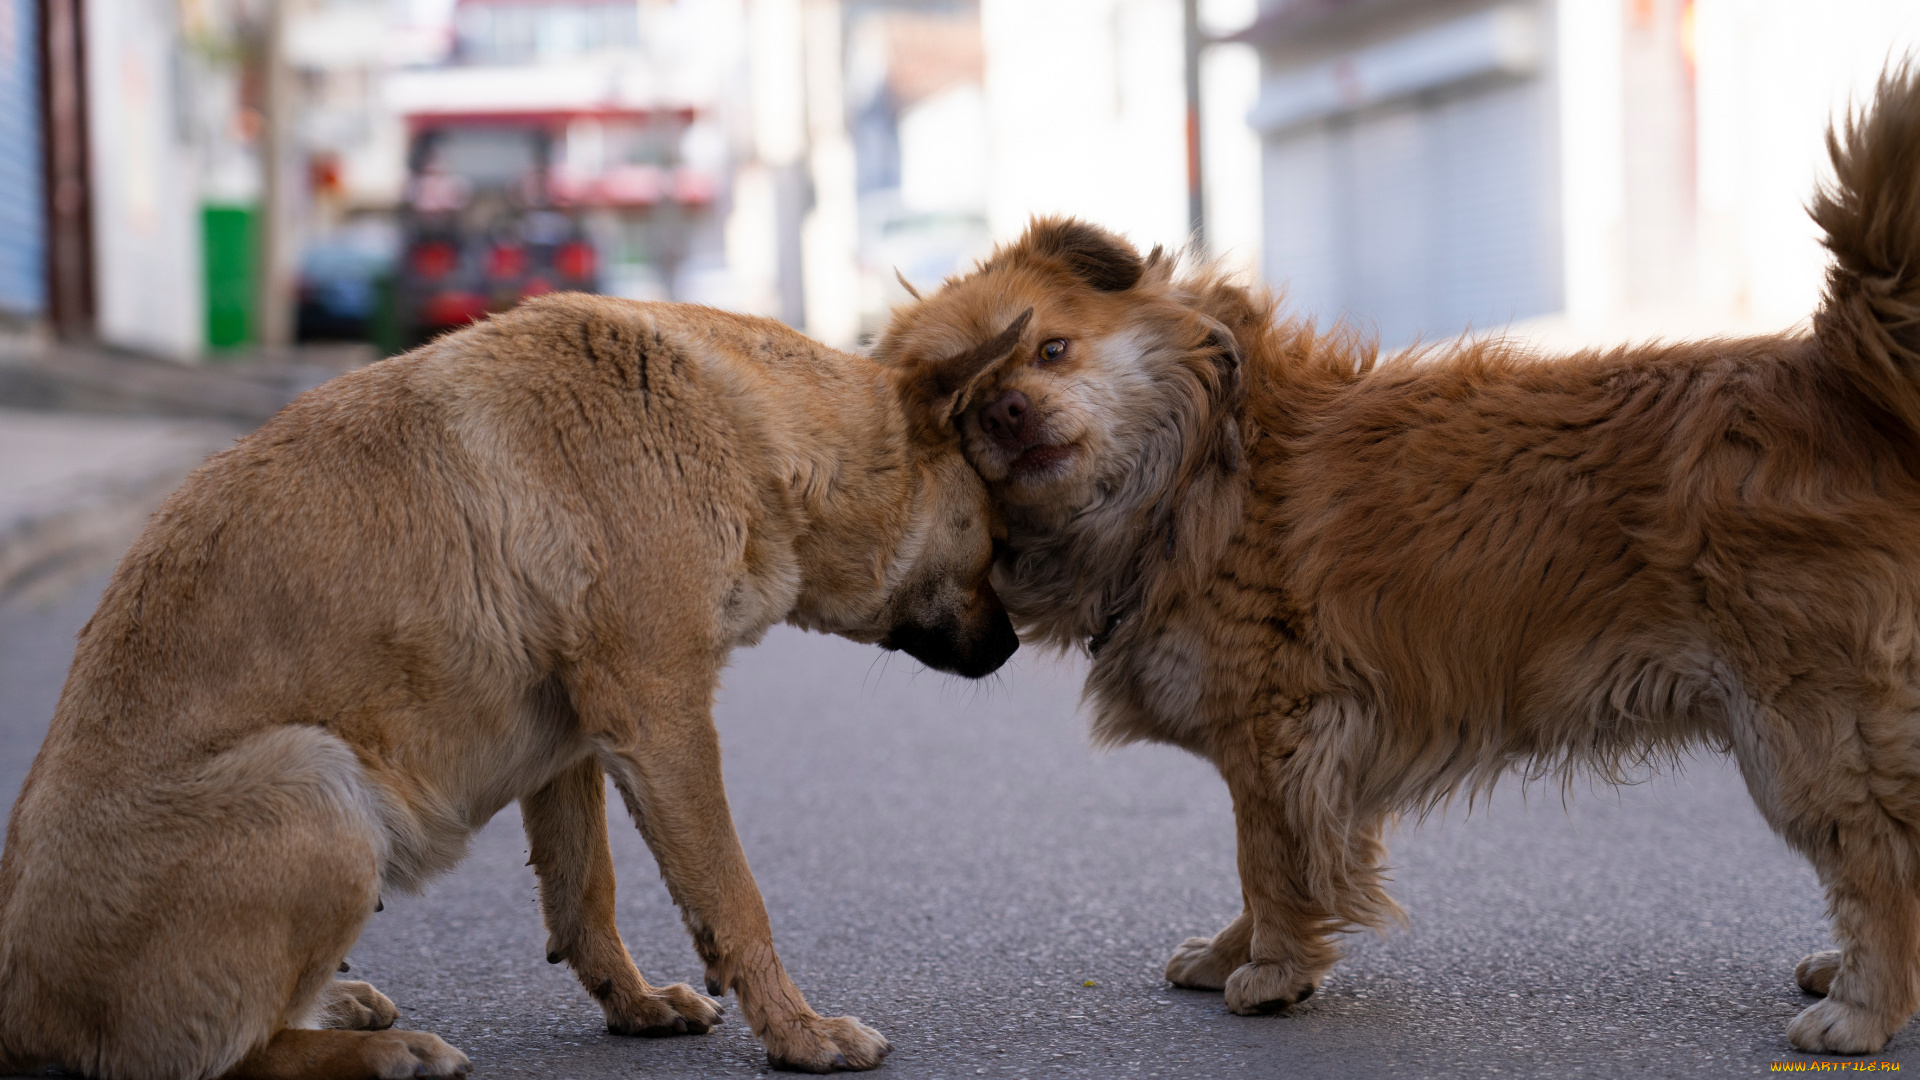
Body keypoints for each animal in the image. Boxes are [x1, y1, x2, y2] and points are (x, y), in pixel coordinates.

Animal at [0, 290, 1021, 1068]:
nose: (1014, 648)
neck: (741, 427)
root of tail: (21, 1008)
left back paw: (344, 1007)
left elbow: (585, 897)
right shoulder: (664, 721)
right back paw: (383, 1053)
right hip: (317, 781)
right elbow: (734, 895)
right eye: (996, 539)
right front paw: (800, 1033)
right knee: (229, 1056)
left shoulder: (574, 745)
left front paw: (634, 1005)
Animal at [879, 69, 1920, 1053]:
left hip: (1802, 732)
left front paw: (1272, 969)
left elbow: (1270, 863)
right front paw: (1231, 953)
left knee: (1878, 856)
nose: (1006, 410)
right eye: (963, 408)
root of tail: (1831, 378)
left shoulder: (1278, 737)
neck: (1195, 471)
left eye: (1051, 350)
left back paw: (1862, 1010)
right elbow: (1272, 868)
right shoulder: (1290, 751)